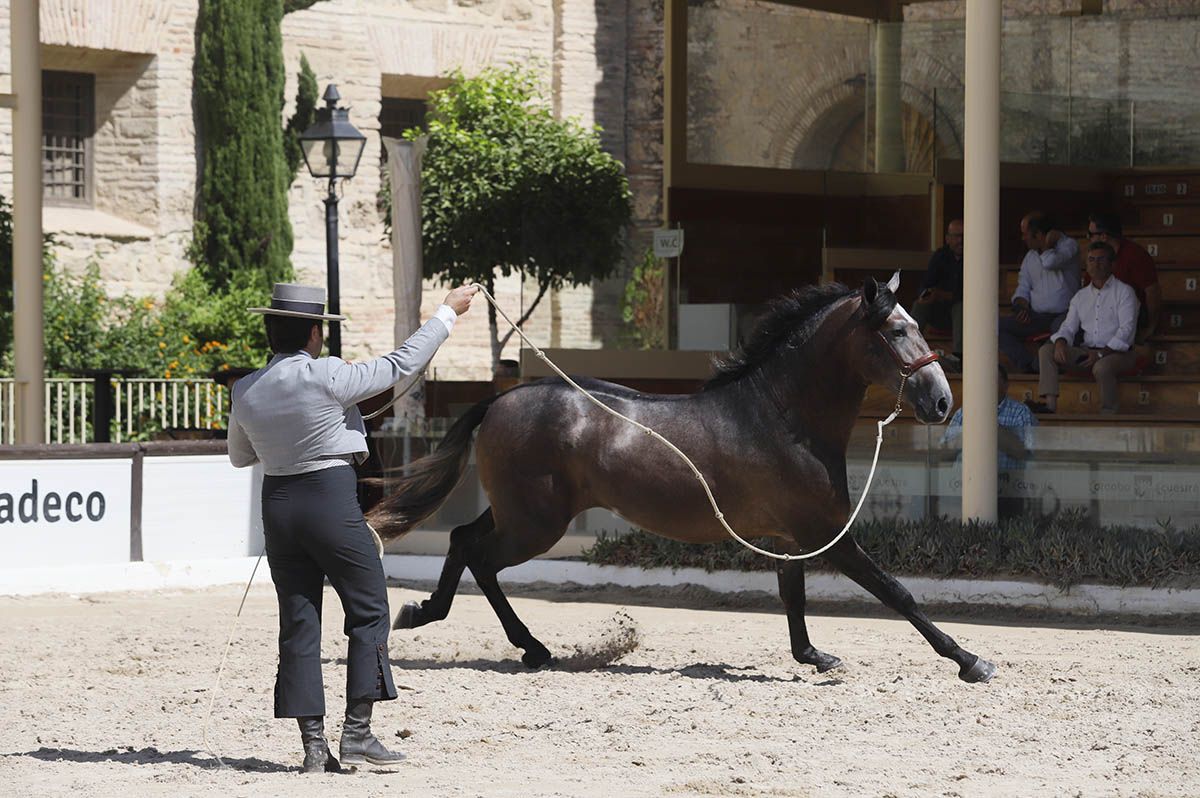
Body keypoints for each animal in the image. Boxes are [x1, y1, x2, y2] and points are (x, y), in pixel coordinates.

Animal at [369, 277, 998, 681]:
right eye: (896, 332)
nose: (942, 402)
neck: (783, 416)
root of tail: (500, 400)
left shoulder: (790, 538)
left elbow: (793, 595)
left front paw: (813, 657)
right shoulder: (827, 534)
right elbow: (896, 591)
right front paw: (971, 661)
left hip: (520, 512)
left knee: (461, 540)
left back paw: (433, 615)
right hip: (535, 524)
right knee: (480, 556)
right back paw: (522, 644)